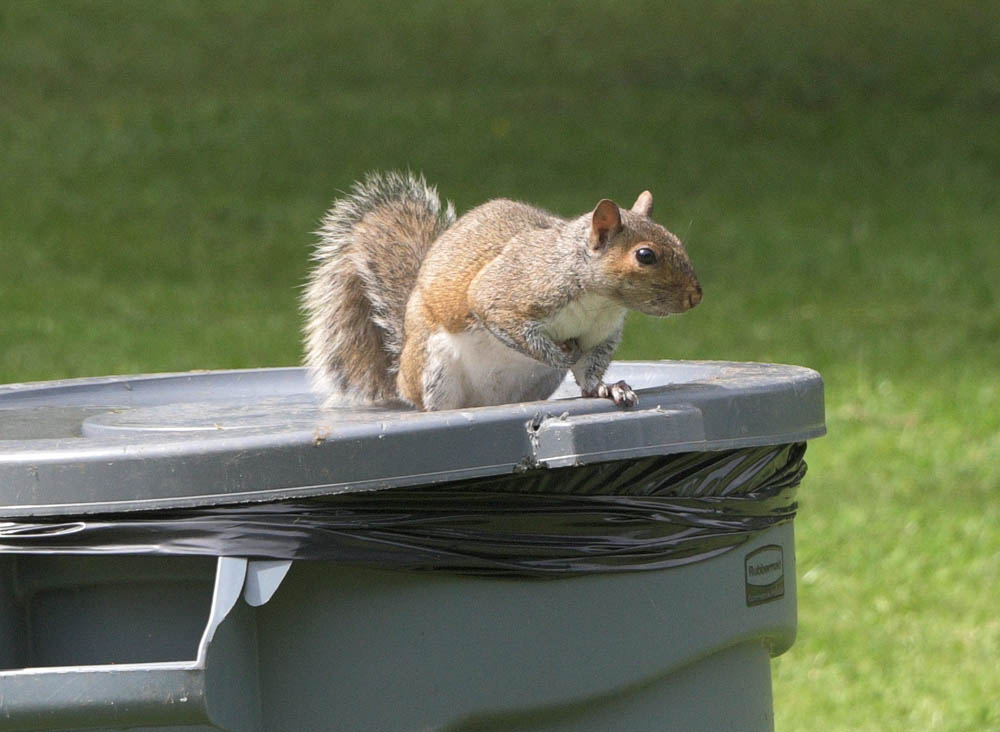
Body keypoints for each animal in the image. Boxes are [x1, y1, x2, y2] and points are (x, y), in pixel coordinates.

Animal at [303, 171, 701, 411]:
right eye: (645, 255)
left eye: (679, 241)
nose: (695, 296)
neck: (598, 301)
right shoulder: (508, 293)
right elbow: (510, 324)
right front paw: (562, 354)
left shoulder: (601, 335)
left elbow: (590, 370)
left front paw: (607, 388)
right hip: (432, 366)